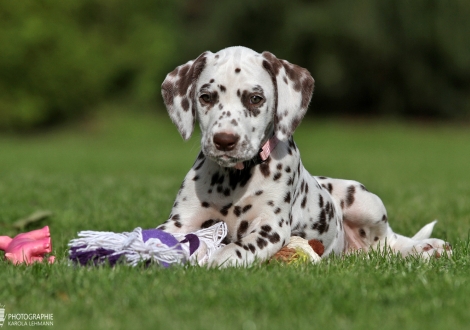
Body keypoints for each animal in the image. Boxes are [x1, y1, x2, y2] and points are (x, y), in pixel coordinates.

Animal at [159, 46, 452, 266]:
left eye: (255, 99)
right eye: (206, 97)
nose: (224, 141)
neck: (234, 180)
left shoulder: (269, 229)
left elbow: (235, 249)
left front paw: (216, 261)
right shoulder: (181, 222)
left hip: (365, 201)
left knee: (390, 243)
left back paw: (428, 248)